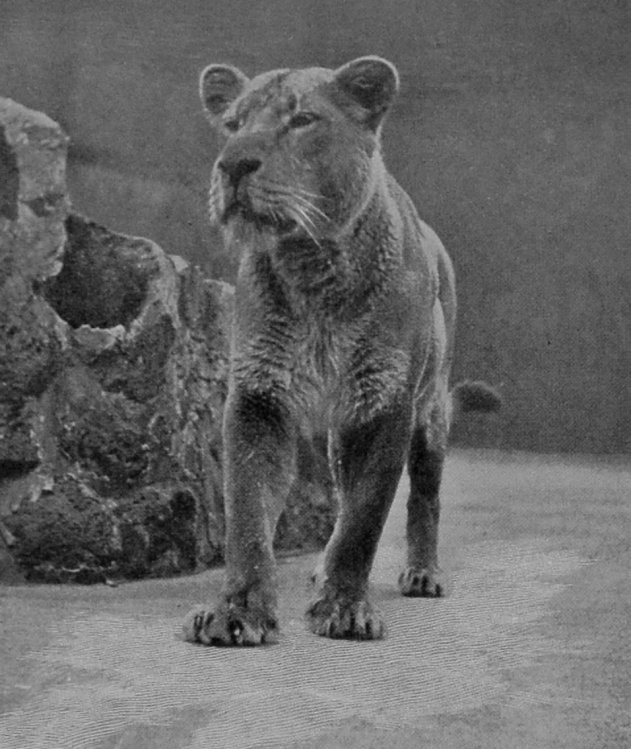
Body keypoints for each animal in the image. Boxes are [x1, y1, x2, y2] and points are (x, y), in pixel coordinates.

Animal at [183, 56, 500, 645]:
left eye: (303, 119)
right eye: (233, 124)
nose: (233, 163)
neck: (313, 270)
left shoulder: (385, 405)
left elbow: (365, 518)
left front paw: (346, 608)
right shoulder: (259, 397)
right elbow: (248, 512)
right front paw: (238, 611)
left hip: (431, 414)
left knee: (424, 496)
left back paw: (422, 572)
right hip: (336, 433)